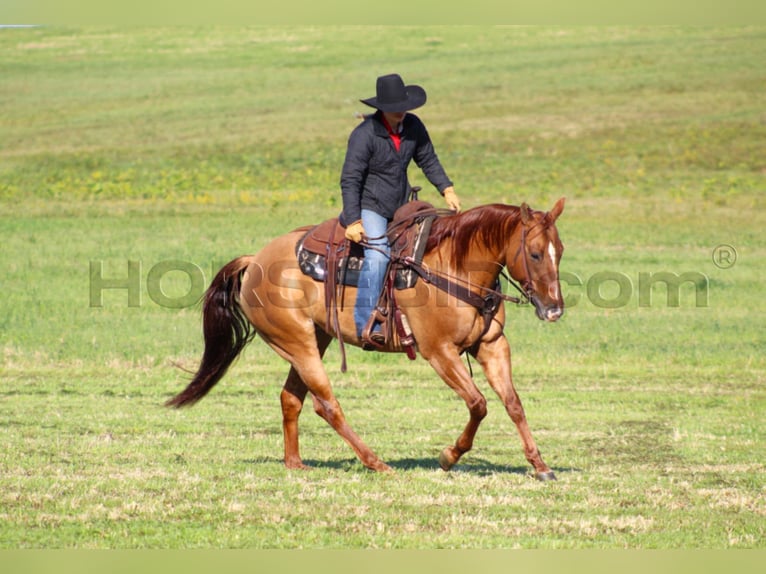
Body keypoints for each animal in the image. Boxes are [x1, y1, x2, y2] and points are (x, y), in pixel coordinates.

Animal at [165, 198, 568, 482]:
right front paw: (448, 456)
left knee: (291, 398)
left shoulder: (492, 346)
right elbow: (478, 404)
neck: (455, 264)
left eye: (559, 251)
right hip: (298, 344)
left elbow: (513, 404)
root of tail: (256, 259)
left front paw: (539, 464)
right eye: (535, 253)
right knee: (326, 405)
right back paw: (376, 462)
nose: (554, 309)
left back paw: (295, 463)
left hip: (315, 339)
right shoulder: (439, 352)